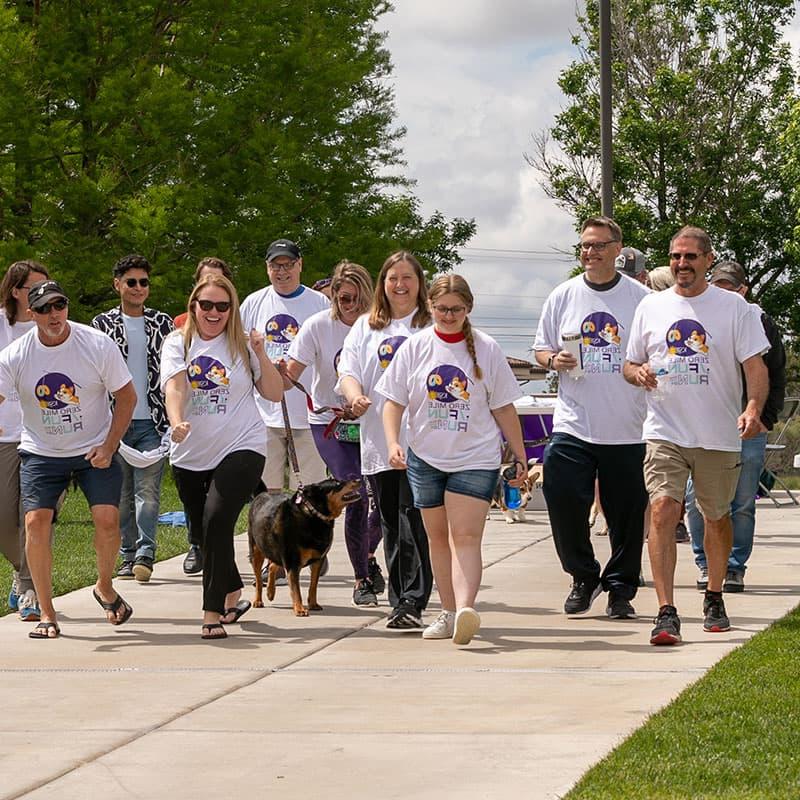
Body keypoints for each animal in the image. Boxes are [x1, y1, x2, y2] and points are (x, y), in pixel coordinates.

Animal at [248, 478, 360, 616]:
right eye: (338, 484)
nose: (359, 479)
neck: (314, 515)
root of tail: (261, 494)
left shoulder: (317, 560)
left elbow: (313, 586)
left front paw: (313, 604)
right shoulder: (292, 562)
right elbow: (296, 589)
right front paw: (299, 608)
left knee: (272, 565)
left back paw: (270, 592)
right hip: (256, 551)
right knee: (258, 579)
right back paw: (258, 600)